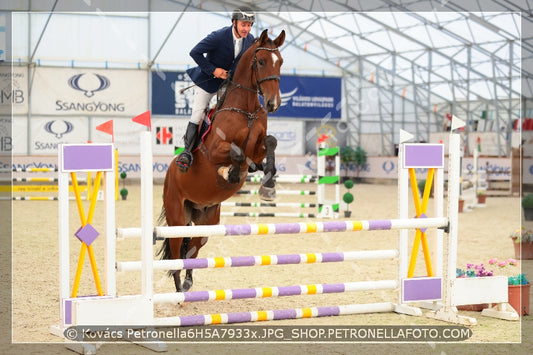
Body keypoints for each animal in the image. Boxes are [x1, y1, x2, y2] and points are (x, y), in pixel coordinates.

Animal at [156, 29, 284, 294]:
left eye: (281, 62)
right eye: (261, 62)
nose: (273, 104)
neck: (246, 110)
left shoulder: (257, 152)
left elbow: (270, 142)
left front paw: (268, 185)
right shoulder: (215, 150)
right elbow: (236, 154)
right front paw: (232, 173)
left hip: (206, 220)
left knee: (193, 249)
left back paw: (188, 282)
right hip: (176, 218)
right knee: (175, 252)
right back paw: (179, 290)